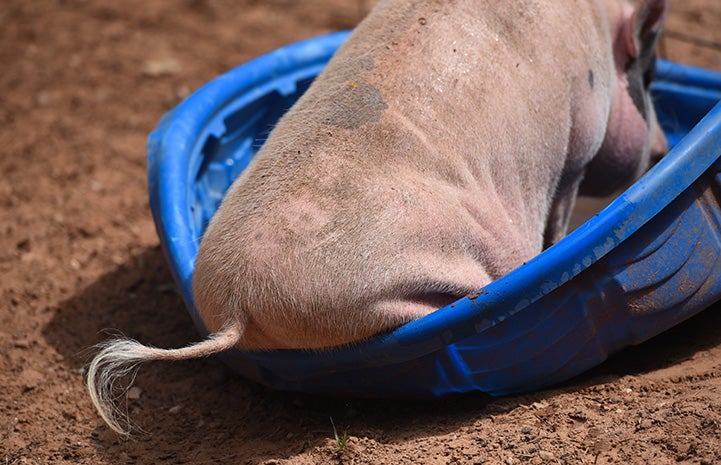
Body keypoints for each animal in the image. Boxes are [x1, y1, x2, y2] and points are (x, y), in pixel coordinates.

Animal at [87, 0, 668, 436]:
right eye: (649, 70)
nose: (663, 148)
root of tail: (237, 303)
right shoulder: (580, 142)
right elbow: (561, 214)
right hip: (402, 287)